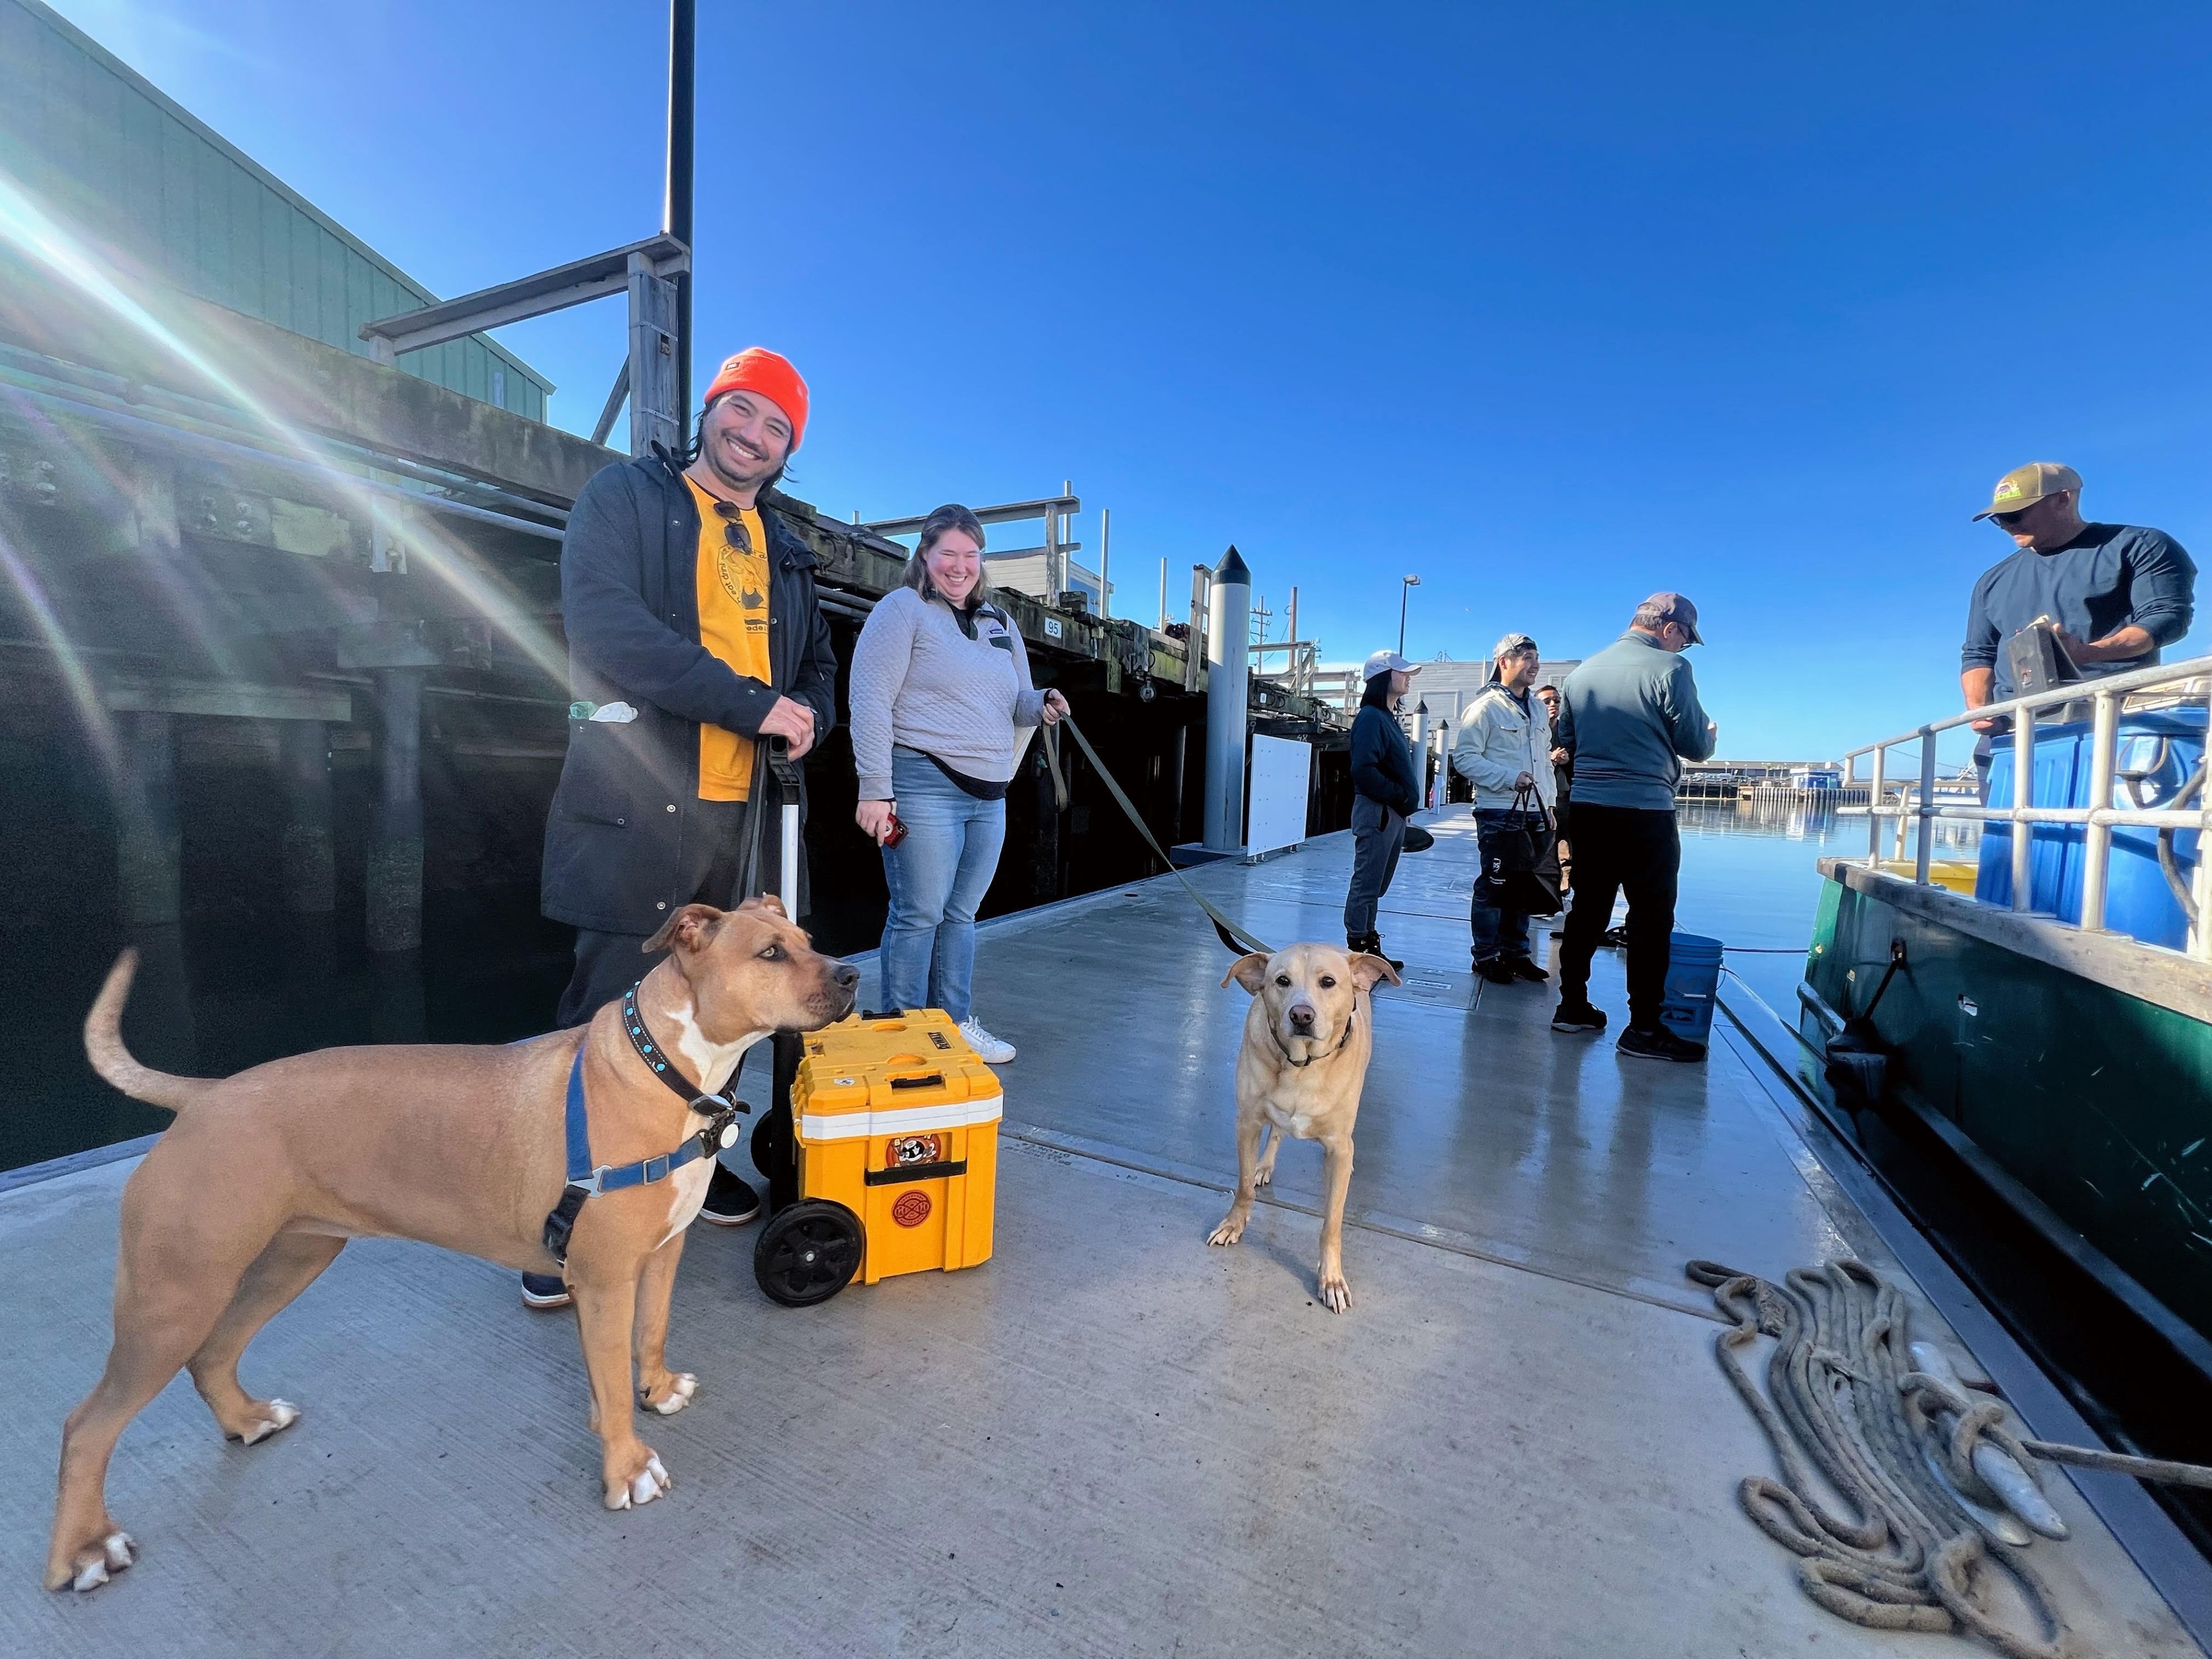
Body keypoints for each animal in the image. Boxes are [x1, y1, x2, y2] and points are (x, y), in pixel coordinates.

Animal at [45, 911, 854, 1601]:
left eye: (808, 939)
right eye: (770, 953)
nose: (849, 975)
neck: (669, 1071)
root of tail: (205, 1097)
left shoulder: (659, 1256)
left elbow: (648, 1335)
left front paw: (655, 1390)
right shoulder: (601, 1281)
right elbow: (613, 1385)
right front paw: (627, 1467)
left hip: (289, 1261)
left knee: (213, 1353)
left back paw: (247, 1420)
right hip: (174, 1297)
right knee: (88, 1424)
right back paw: (83, 1552)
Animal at [1212, 946, 1397, 1309]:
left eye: (1328, 982)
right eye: (1282, 981)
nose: (1301, 1015)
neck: (1301, 1065)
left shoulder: (1339, 1148)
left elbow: (1332, 1223)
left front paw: (1331, 1279)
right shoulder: (1247, 1123)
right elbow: (1243, 1186)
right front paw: (1234, 1224)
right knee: (1276, 1133)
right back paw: (1265, 1165)